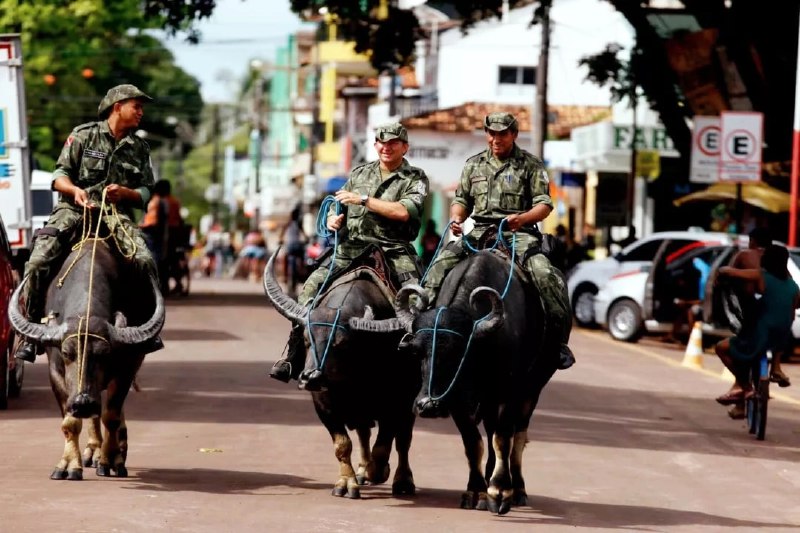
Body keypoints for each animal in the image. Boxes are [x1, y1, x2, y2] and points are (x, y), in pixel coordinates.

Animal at [9, 239, 164, 480]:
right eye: (66, 353)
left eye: (104, 354)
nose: (83, 403)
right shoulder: (56, 372)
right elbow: (70, 422)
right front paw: (69, 465)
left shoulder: (127, 367)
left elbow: (111, 415)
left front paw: (111, 460)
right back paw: (93, 449)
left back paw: (118, 446)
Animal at [264, 251, 424, 496]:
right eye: (306, 340)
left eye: (341, 344)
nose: (311, 378)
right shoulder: (324, 404)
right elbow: (343, 444)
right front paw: (346, 483)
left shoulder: (397, 401)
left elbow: (385, 444)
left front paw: (379, 471)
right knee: (364, 432)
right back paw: (362, 470)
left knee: (403, 439)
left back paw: (402, 481)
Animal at [398, 251, 556, 512]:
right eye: (417, 351)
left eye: (457, 351)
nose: (428, 405)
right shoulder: (456, 400)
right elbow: (473, 442)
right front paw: (476, 491)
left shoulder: (512, 392)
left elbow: (503, 438)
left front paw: (500, 490)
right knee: (491, 430)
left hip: (533, 390)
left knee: (518, 435)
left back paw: (517, 488)